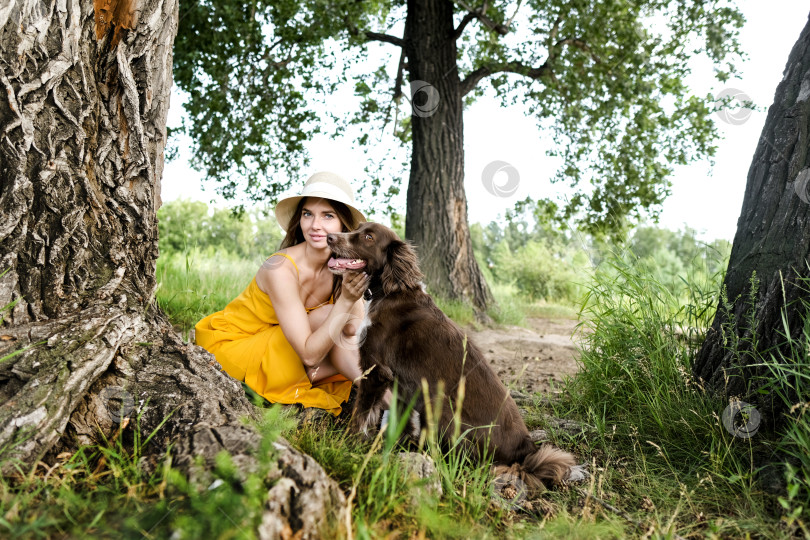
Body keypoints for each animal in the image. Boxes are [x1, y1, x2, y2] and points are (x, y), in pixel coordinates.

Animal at [324, 223, 576, 490]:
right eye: (358, 228)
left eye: (368, 237)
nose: (329, 237)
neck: (388, 291)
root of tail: (524, 450)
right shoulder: (402, 386)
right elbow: (399, 423)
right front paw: (392, 447)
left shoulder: (375, 370)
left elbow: (361, 414)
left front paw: (347, 443)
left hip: (440, 405)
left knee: (460, 459)